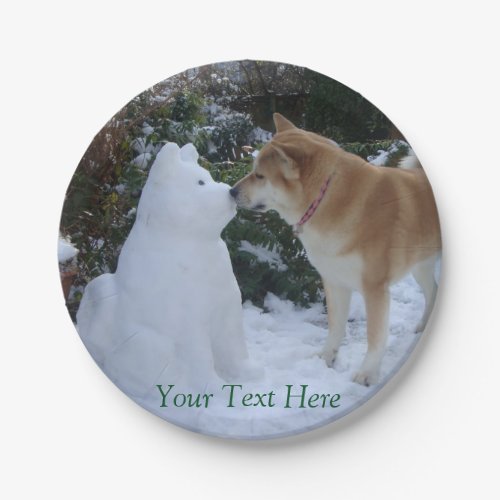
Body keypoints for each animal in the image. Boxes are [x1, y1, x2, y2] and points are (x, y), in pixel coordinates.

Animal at [230, 114, 442, 386]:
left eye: (259, 176)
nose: (231, 191)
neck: (325, 198)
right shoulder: (334, 281)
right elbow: (335, 327)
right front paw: (326, 358)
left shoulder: (374, 288)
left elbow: (375, 337)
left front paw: (367, 374)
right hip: (420, 266)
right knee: (433, 291)